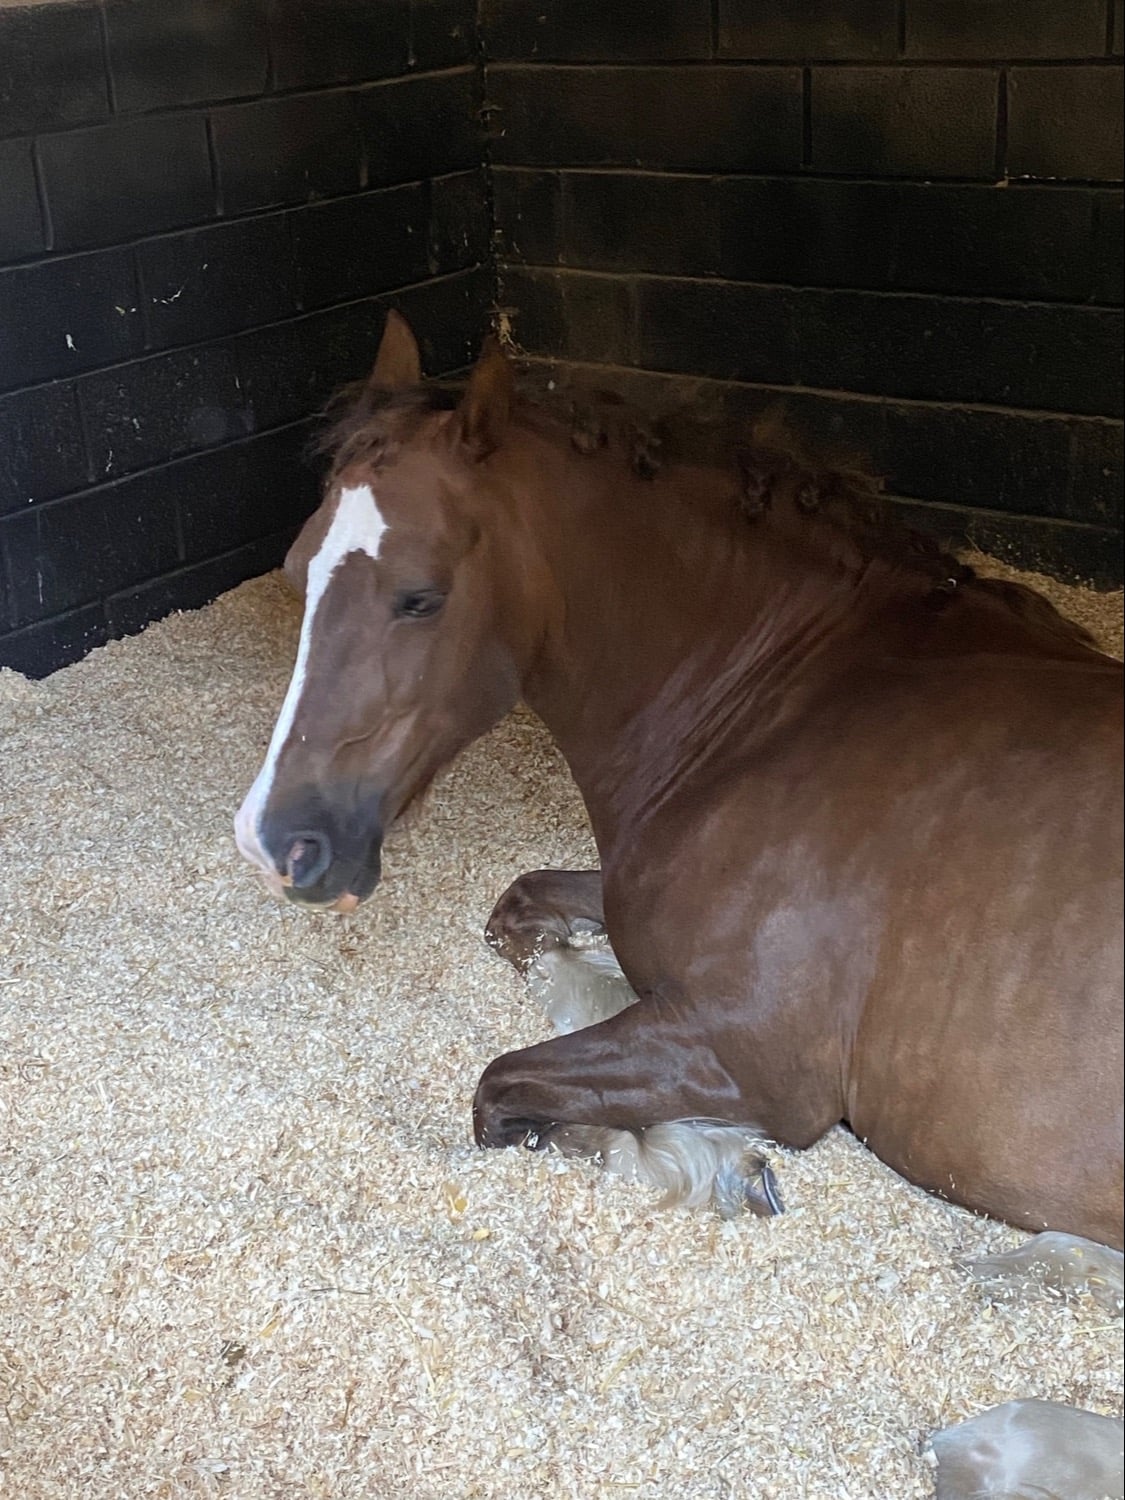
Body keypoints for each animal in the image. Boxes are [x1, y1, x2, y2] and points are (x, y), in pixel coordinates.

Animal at [235, 311, 1123, 1252]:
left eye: (420, 597)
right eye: (294, 571)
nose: (274, 843)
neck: (785, 698)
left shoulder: (756, 1060)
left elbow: (501, 1090)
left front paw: (701, 1159)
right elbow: (522, 914)